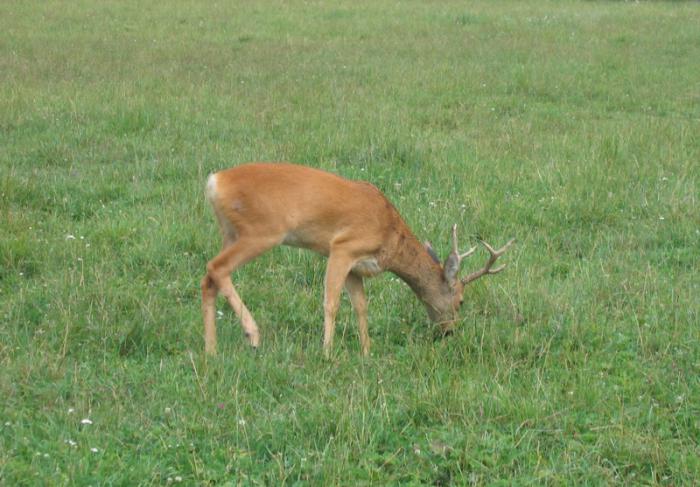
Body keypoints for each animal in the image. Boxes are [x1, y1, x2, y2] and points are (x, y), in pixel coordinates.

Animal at [201, 162, 515, 357]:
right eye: (461, 300)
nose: (449, 331)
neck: (389, 233)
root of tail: (214, 182)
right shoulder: (342, 247)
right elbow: (331, 303)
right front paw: (327, 352)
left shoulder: (356, 267)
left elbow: (361, 306)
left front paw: (366, 351)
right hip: (261, 231)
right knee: (216, 267)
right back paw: (252, 335)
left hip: (230, 232)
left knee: (209, 278)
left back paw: (211, 349)